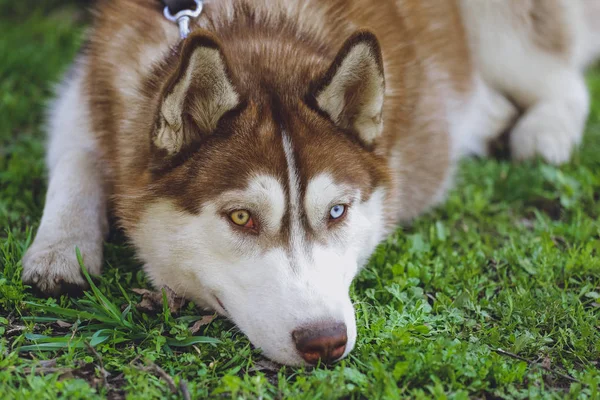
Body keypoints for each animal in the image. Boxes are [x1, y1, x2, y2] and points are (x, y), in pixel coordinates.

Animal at [21, 0, 596, 366]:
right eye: (241, 217)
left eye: (337, 212)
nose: (325, 342)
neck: (249, 26)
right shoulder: (86, 87)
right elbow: (76, 158)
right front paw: (60, 247)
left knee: (564, 80)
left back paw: (542, 133)